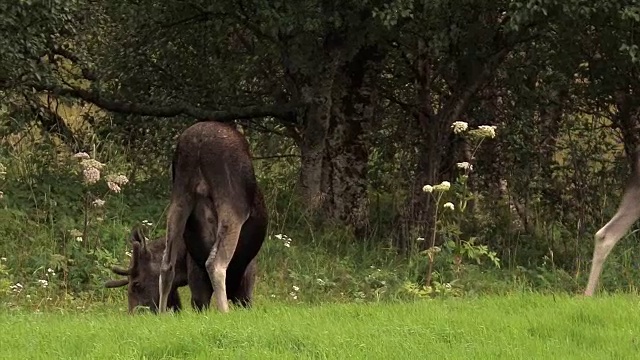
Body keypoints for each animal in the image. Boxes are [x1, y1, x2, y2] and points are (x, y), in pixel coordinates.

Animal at [160, 120, 270, 312]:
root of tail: (199, 141)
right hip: (232, 203)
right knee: (215, 263)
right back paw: (224, 311)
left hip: (179, 197)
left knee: (166, 264)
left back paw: (160, 313)